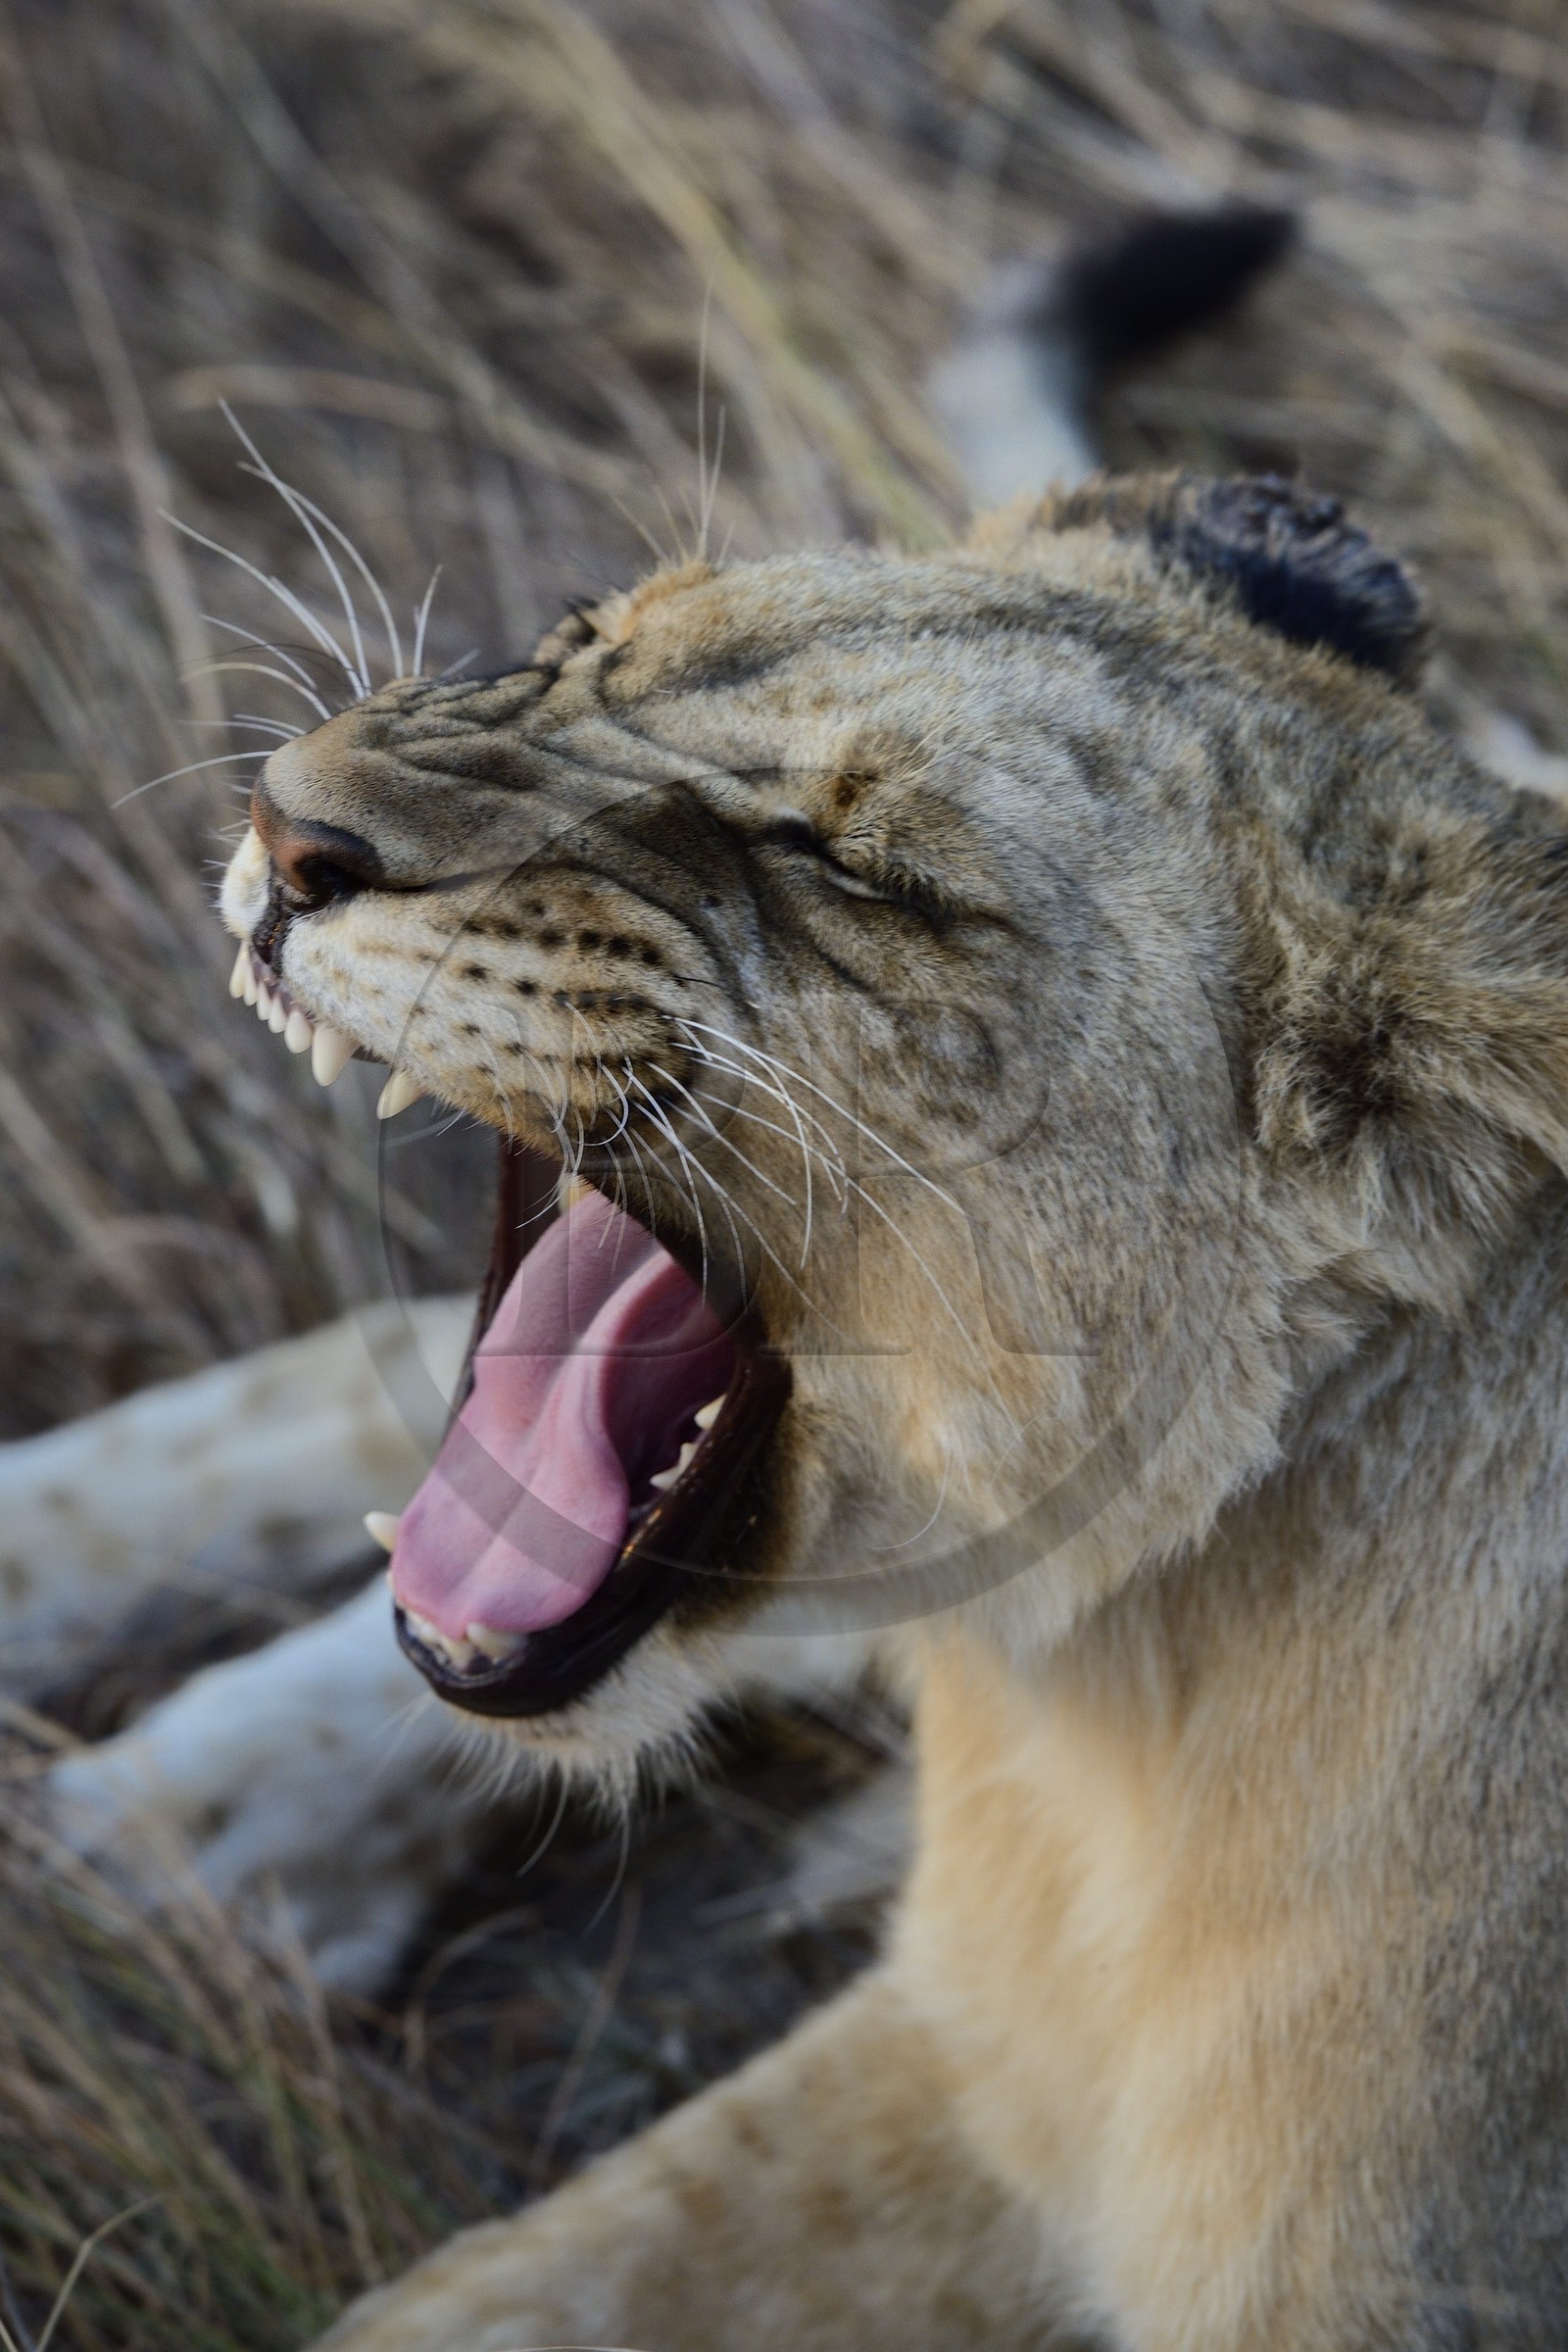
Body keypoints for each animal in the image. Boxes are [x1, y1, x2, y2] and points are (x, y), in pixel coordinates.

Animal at [206, 451, 1568, 2351]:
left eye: (850, 865)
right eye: (579, 639)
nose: (284, 822)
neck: (1114, 1710)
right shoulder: (962, 2044)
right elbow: (475, 2300)